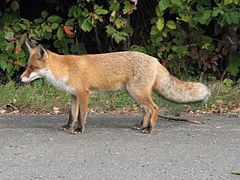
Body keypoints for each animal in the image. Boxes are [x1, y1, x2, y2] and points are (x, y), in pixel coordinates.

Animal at [21, 40, 211, 134]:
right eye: (27, 66)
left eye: (32, 67)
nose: (21, 78)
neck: (65, 68)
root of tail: (154, 59)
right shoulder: (73, 95)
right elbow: (72, 115)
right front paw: (68, 127)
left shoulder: (83, 94)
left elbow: (81, 116)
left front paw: (79, 130)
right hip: (135, 93)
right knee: (147, 110)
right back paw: (141, 126)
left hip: (137, 93)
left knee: (154, 108)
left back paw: (149, 129)